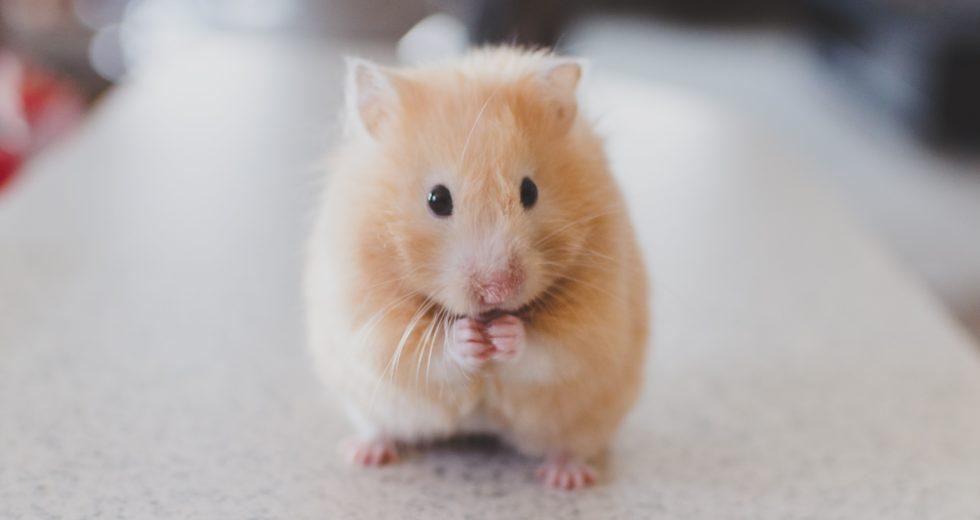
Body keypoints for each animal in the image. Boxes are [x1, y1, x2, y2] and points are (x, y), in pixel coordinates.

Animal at [305, 47, 649, 490]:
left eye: (529, 191)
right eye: (437, 199)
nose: (497, 291)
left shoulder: (594, 323)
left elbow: (550, 350)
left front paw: (504, 335)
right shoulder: (369, 320)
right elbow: (427, 352)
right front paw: (469, 338)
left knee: (571, 444)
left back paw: (566, 478)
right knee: (379, 427)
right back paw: (364, 453)